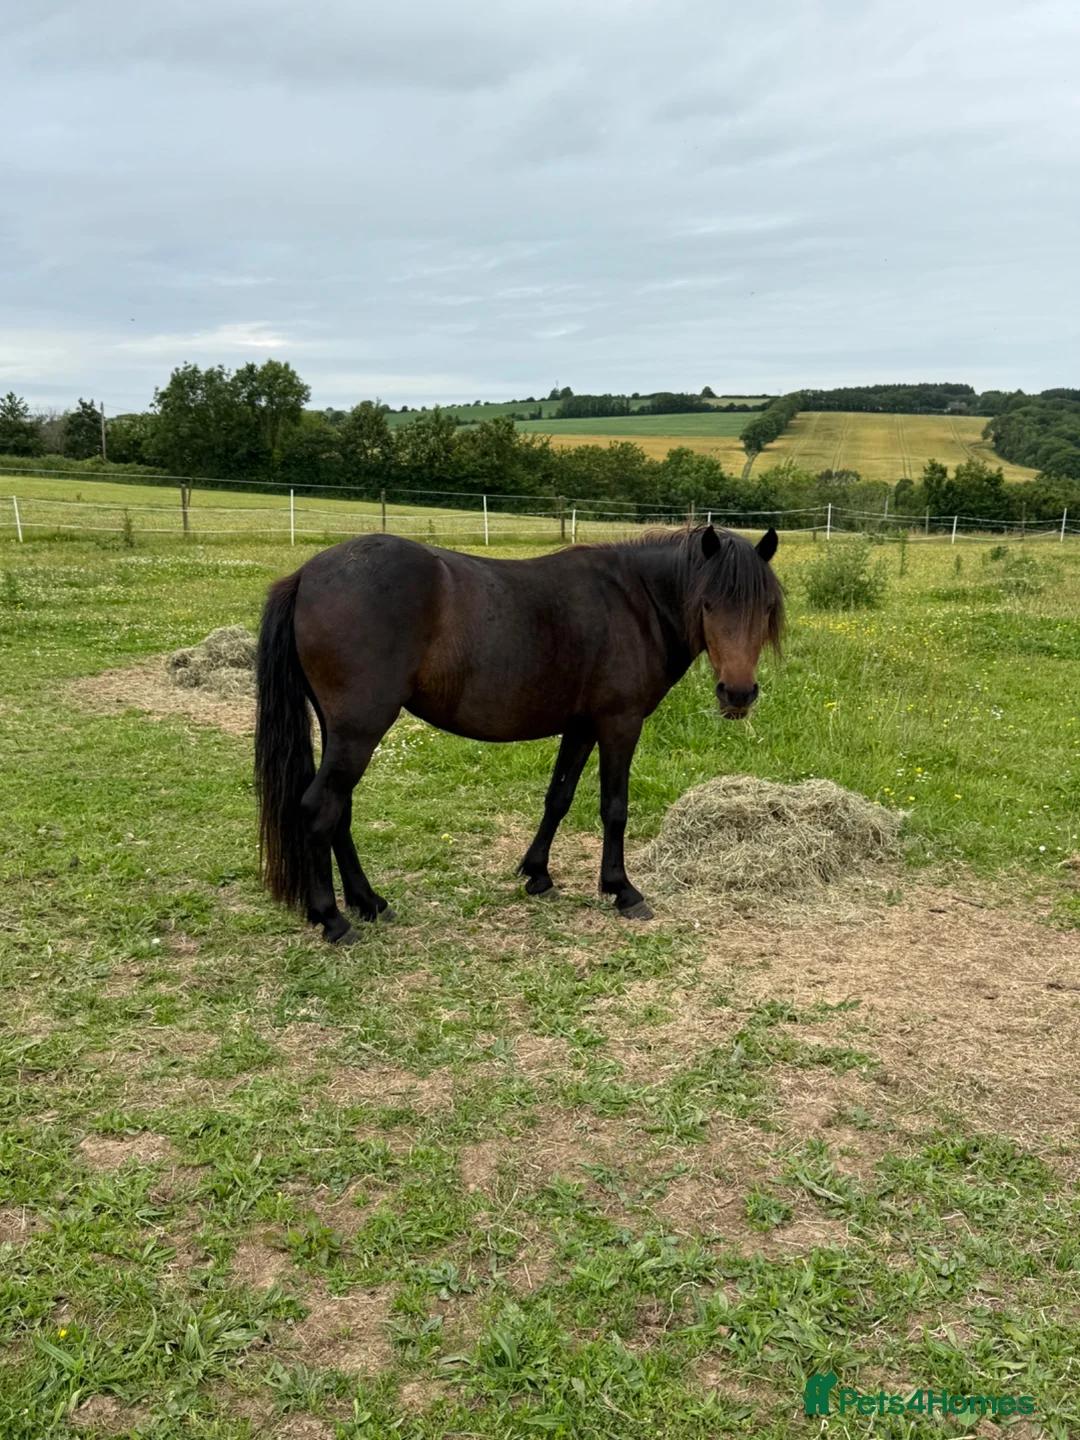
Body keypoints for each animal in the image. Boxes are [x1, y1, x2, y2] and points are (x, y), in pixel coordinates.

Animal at [254, 523, 783, 944]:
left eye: (763, 608)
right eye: (707, 604)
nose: (738, 694)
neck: (633, 602)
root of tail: (306, 576)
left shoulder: (581, 726)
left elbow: (559, 798)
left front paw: (537, 873)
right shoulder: (619, 723)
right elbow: (614, 808)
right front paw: (621, 889)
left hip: (341, 732)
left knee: (338, 812)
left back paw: (370, 902)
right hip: (359, 731)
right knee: (320, 808)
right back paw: (333, 920)